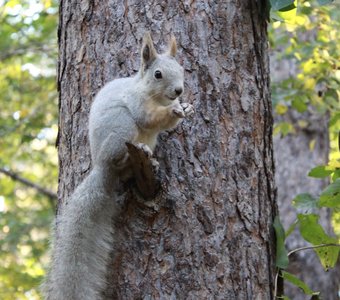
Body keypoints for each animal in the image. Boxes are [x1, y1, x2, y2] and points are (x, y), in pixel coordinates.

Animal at [42, 31, 194, 298]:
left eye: (181, 69)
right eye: (158, 74)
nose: (178, 91)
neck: (151, 94)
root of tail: (102, 168)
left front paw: (185, 107)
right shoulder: (137, 104)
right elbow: (150, 118)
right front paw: (175, 110)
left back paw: (151, 161)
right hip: (122, 127)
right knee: (120, 154)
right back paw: (136, 154)